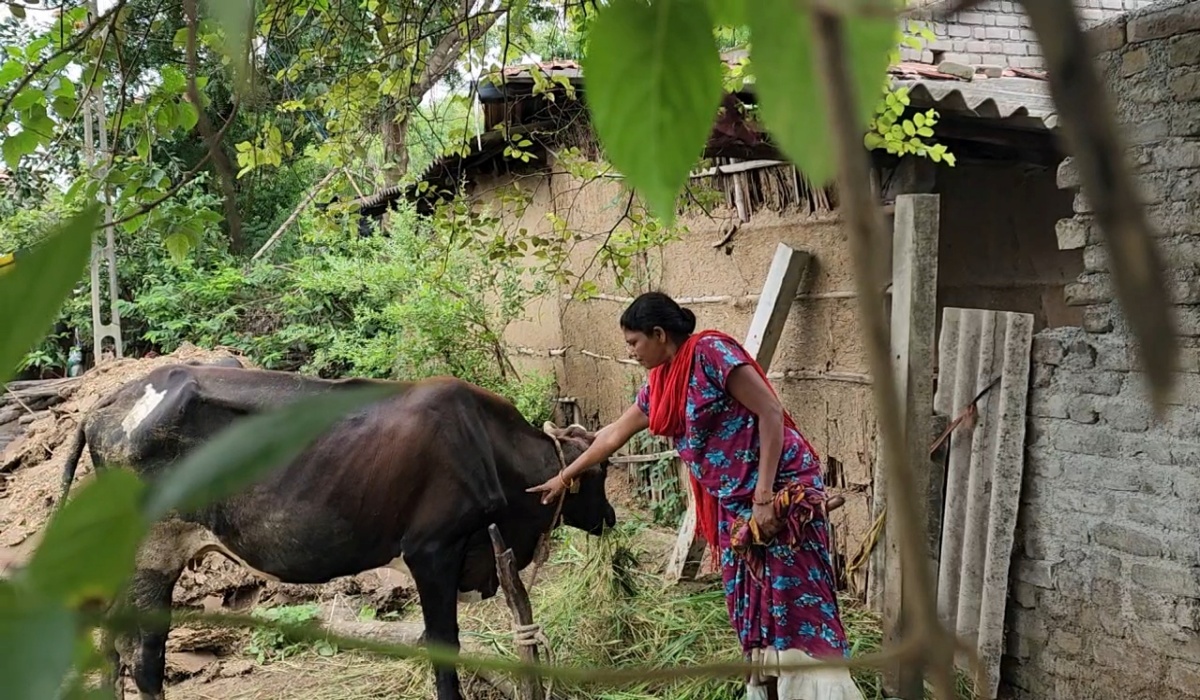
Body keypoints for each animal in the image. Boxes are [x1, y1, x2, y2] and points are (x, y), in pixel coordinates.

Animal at [59, 365, 614, 700]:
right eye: (601, 472)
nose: (610, 517)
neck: (488, 448)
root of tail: (107, 403)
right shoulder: (432, 550)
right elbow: (443, 643)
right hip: (156, 553)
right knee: (144, 657)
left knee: (112, 644)